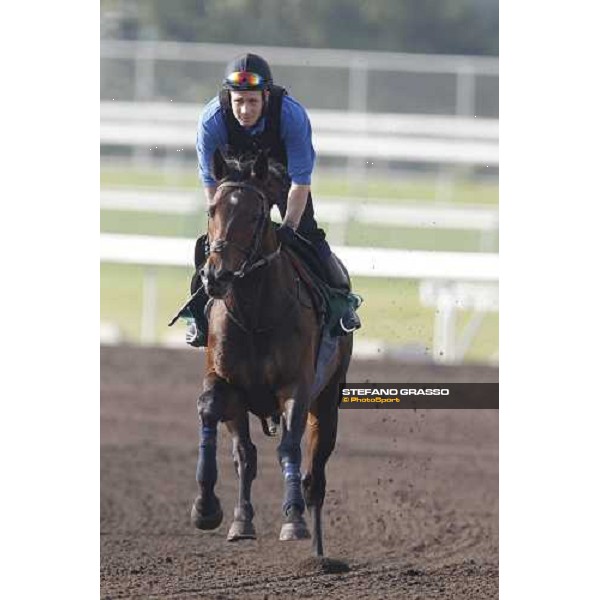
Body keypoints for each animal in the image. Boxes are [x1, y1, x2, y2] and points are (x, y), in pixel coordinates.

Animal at [191, 151, 352, 556]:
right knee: (245, 455)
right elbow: (217, 421)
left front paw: (293, 520)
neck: (255, 316)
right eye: (212, 210)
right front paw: (207, 508)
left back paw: (319, 553)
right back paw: (241, 520)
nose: (216, 277)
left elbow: (289, 449)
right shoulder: (225, 382)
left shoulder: (296, 387)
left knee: (316, 477)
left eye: (255, 215)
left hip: (328, 399)